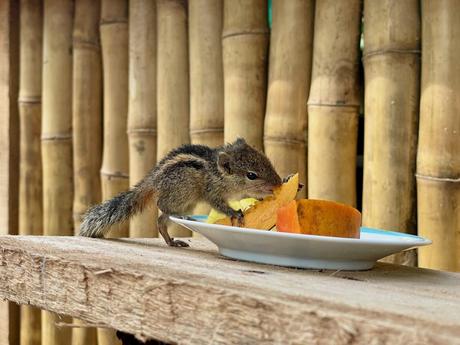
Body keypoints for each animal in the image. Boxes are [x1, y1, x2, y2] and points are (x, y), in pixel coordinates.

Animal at [79, 138, 282, 247]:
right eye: (251, 175)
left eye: (267, 161)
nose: (278, 183)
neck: (217, 172)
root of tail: (153, 180)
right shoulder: (212, 191)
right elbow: (219, 204)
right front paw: (235, 213)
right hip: (183, 193)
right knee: (162, 206)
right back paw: (180, 219)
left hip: (187, 202)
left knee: (161, 220)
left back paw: (171, 241)